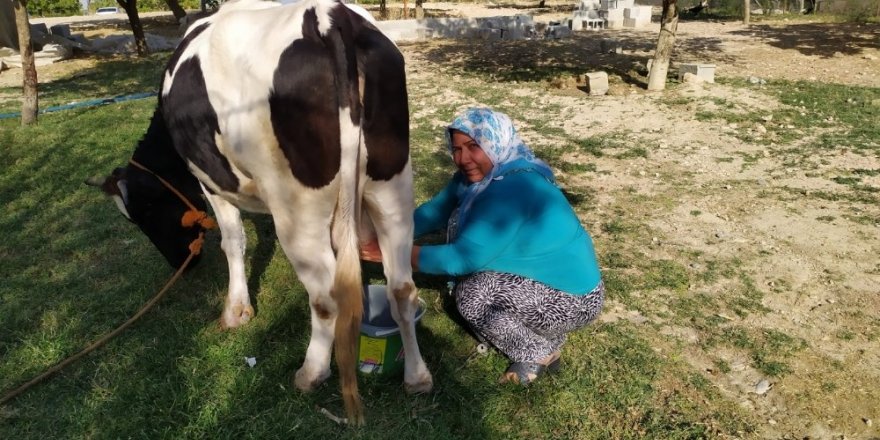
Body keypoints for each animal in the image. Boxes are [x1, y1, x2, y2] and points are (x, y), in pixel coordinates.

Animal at [87, 0, 432, 424]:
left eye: (144, 215)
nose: (179, 263)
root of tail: (326, 15)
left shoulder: (212, 183)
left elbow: (233, 242)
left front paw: (236, 309)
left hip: (296, 209)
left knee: (326, 297)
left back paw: (311, 371)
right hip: (392, 186)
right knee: (402, 288)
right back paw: (417, 377)